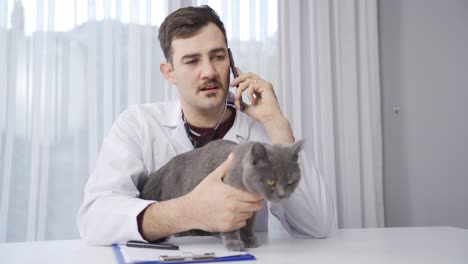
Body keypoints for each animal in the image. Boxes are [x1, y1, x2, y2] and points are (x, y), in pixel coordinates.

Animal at [140, 139, 304, 251]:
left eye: (290, 182)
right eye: (271, 182)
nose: (282, 195)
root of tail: (166, 166)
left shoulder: (251, 210)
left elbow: (249, 225)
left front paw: (249, 240)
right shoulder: (227, 205)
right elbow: (230, 226)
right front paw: (234, 244)